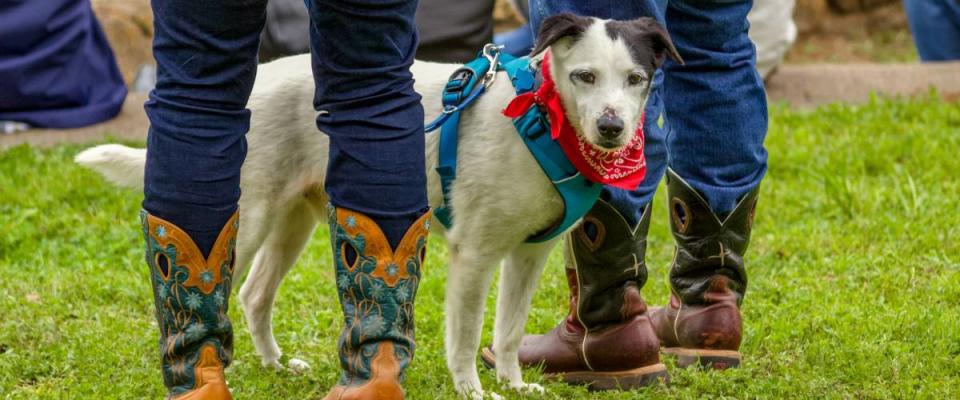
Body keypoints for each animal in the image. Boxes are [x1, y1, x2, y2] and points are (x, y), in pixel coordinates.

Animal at [80, 14, 684, 398]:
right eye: (584, 76)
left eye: (637, 79)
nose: (612, 128)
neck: (543, 117)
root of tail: (256, 81)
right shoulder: (474, 254)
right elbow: (466, 337)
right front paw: (473, 391)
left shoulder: (528, 255)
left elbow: (509, 332)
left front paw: (514, 383)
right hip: (248, 220)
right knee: (208, 288)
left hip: (295, 220)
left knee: (253, 295)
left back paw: (277, 367)